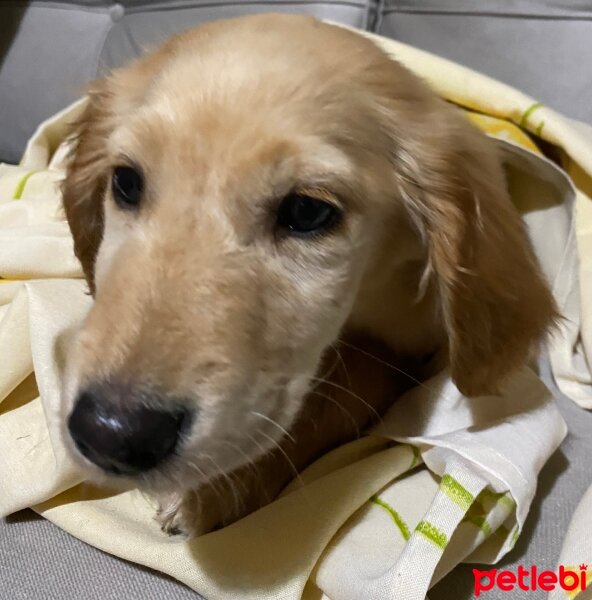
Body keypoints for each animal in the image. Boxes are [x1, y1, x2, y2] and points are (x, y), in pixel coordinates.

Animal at [57, 14, 556, 536]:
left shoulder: (412, 349)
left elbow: (347, 387)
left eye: (306, 211)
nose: (110, 435)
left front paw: (214, 490)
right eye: (125, 182)